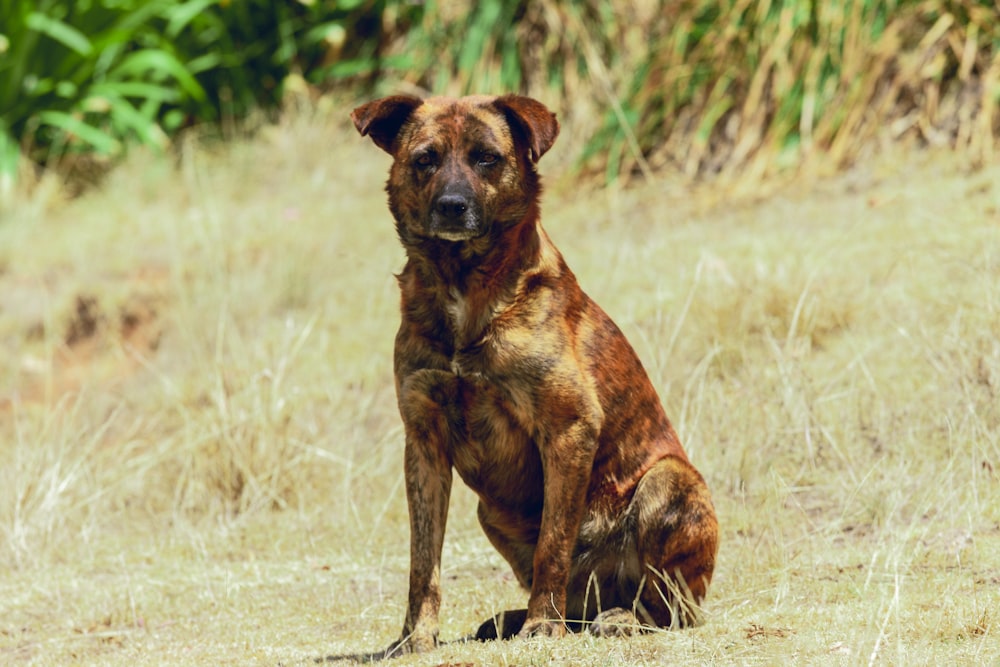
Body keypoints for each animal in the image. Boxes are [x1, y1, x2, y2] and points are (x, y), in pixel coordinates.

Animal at [352, 94, 720, 656]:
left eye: (487, 158)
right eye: (424, 159)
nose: (452, 206)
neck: (464, 288)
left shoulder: (569, 428)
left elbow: (554, 544)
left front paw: (541, 626)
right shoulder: (424, 444)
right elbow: (423, 563)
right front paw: (417, 636)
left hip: (668, 483)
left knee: (668, 610)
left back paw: (612, 618)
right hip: (492, 514)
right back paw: (512, 619)